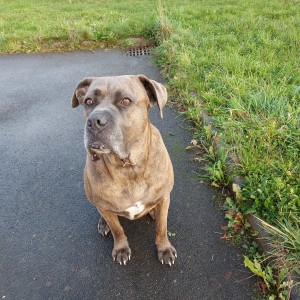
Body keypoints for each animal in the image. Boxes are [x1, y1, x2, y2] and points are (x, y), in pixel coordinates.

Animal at [71, 74, 177, 264]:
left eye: (126, 101)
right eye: (89, 101)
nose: (94, 121)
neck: (128, 169)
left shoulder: (165, 197)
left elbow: (162, 227)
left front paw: (164, 249)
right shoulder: (106, 208)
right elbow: (117, 229)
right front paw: (121, 248)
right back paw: (103, 223)